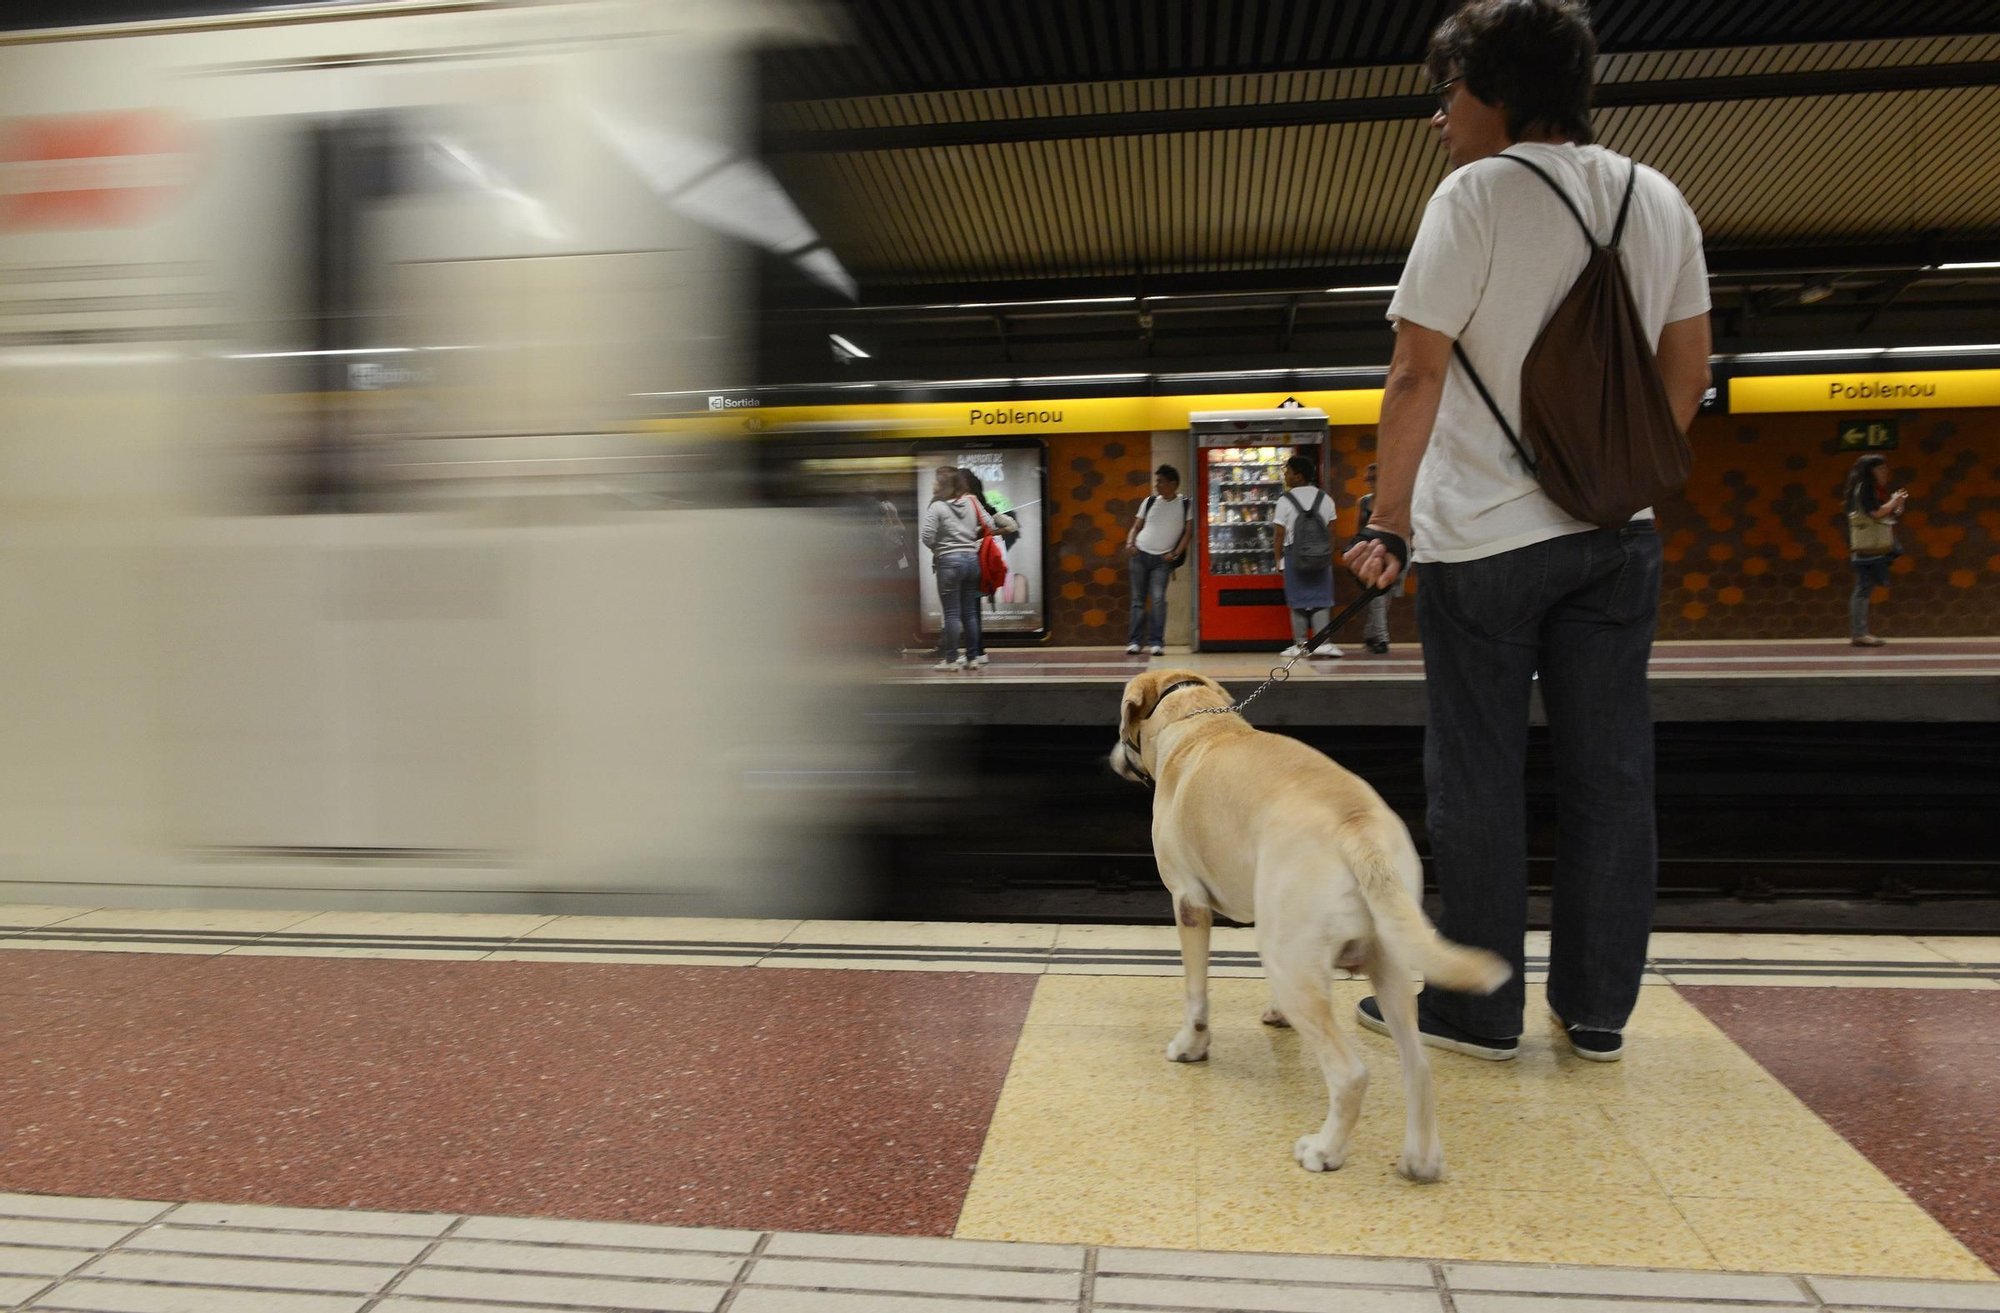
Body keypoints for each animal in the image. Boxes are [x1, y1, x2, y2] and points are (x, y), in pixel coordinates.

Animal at [1112, 668, 1504, 1176]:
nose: (1113, 753)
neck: (1199, 726)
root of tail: (1358, 828)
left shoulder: (1188, 902)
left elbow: (1195, 994)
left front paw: (1190, 1047)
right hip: (1385, 958)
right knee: (1417, 1064)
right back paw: (1421, 1160)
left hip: (1290, 961)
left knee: (1350, 1074)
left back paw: (1325, 1150)